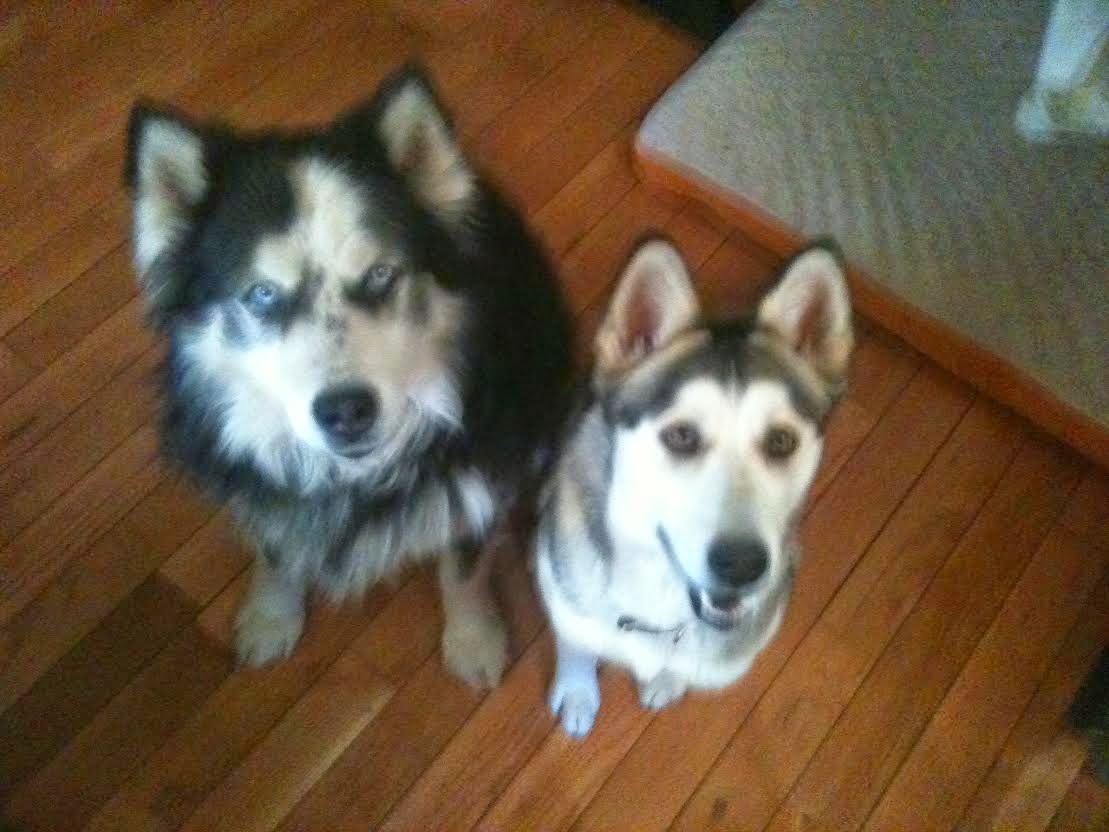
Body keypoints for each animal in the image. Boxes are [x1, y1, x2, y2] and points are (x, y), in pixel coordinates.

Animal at [124, 65, 572, 687]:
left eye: (382, 274)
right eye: (261, 294)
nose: (346, 411)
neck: (353, 481)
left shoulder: (476, 488)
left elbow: (464, 571)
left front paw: (473, 638)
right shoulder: (267, 489)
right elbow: (276, 551)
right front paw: (271, 616)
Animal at [535, 238, 853, 735]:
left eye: (781, 441)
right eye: (681, 436)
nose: (741, 565)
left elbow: (679, 667)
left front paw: (667, 680)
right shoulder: (565, 599)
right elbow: (576, 647)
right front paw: (577, 692)